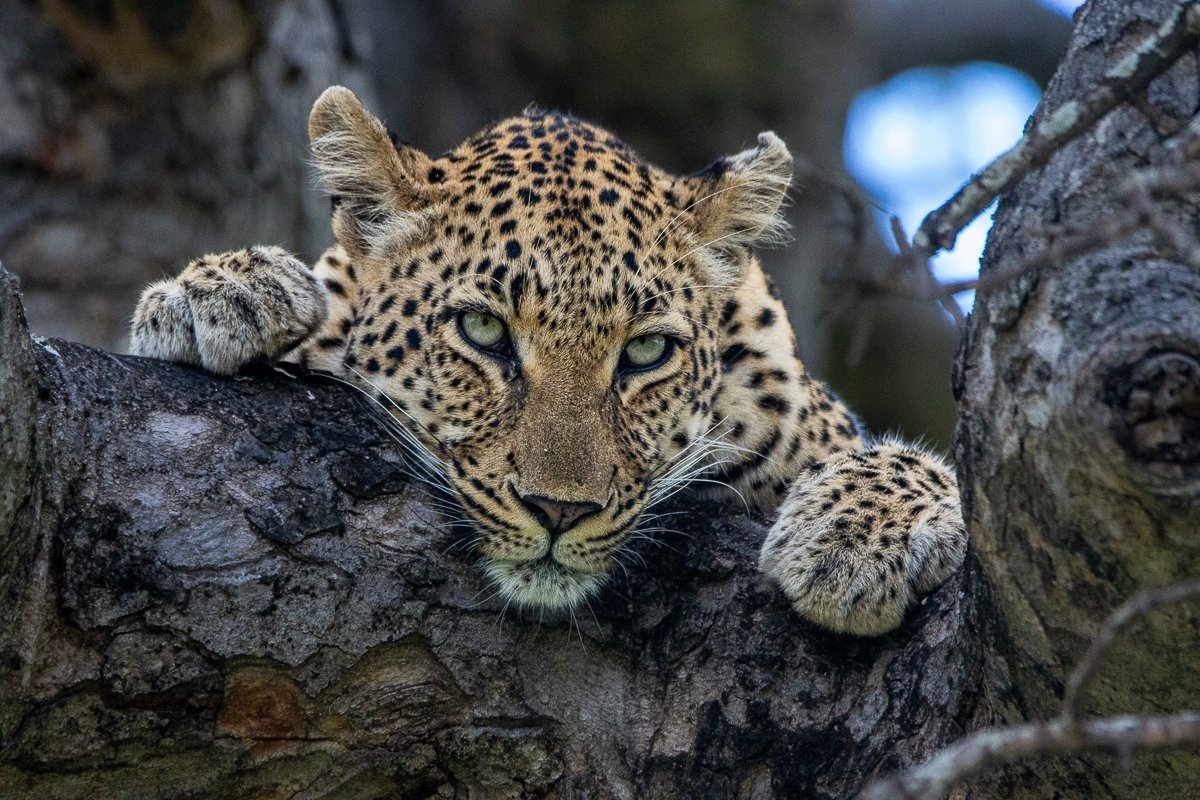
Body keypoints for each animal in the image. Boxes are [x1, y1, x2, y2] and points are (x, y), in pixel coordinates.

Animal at [130, 86, 966, 636]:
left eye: (646, 350)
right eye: (483, 331)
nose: (560, 511)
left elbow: (929, 467)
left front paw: (856, 542)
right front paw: (219, 292)